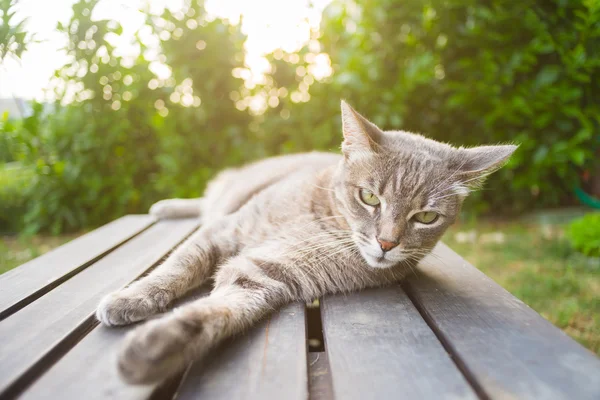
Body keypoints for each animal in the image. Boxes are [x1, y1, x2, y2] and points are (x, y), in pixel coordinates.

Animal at [95, 101, 516, 384]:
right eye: (370, 198)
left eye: (426, 217)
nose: (387, 243)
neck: (318, 220)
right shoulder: (225, 232)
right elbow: (176, 268)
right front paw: (132, 297)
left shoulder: (266, 274)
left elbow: (222, 310)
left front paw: (160, 346)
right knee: (206, 201)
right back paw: (168, 206)